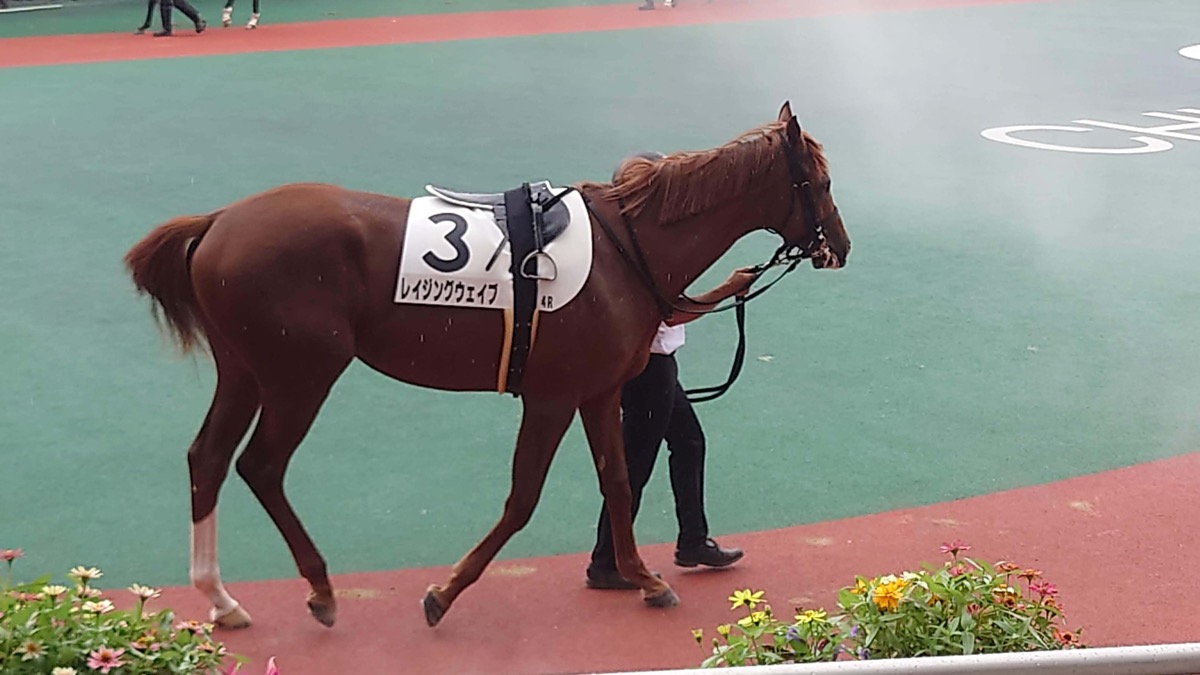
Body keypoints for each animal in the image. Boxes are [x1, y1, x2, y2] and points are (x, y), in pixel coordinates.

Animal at [123, 101, 850, 630]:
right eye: (818, 182)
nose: (839, 245)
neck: (626, 249)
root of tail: (219, 221)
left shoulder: (597, 393)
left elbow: (618, 483)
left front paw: (641, 577)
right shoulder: (552, 397)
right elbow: (524, 497)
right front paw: (444, 593)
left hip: (245, 369)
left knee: (208, 458)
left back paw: (222, 601)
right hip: (301, 375)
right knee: (260, 465)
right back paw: (321, 589)